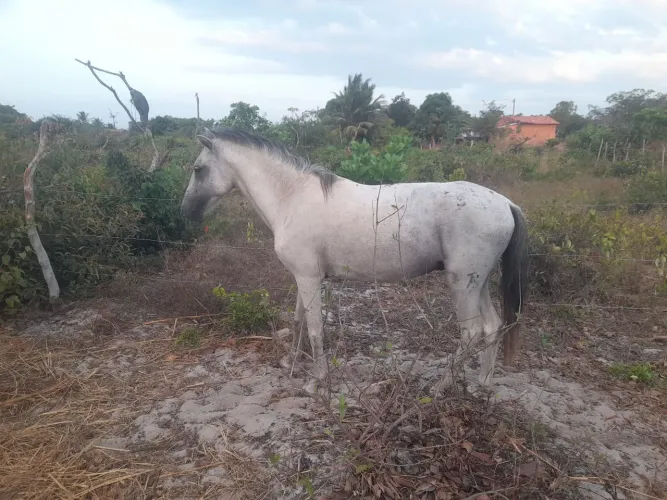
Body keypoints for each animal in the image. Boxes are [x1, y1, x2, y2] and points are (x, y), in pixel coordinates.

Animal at [180, 127, 529, 393]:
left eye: (198, 169)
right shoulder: (304, 277)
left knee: (471, 333)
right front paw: (289, 363)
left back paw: (440, 386)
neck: (292, 197)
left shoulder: (308, 278)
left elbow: (315, 329)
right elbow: (297, 321)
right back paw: (481, 382)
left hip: (463, 285)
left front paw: (315, 381)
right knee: (492, 327)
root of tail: (506, 204)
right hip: (478, 283)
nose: (186, 212)